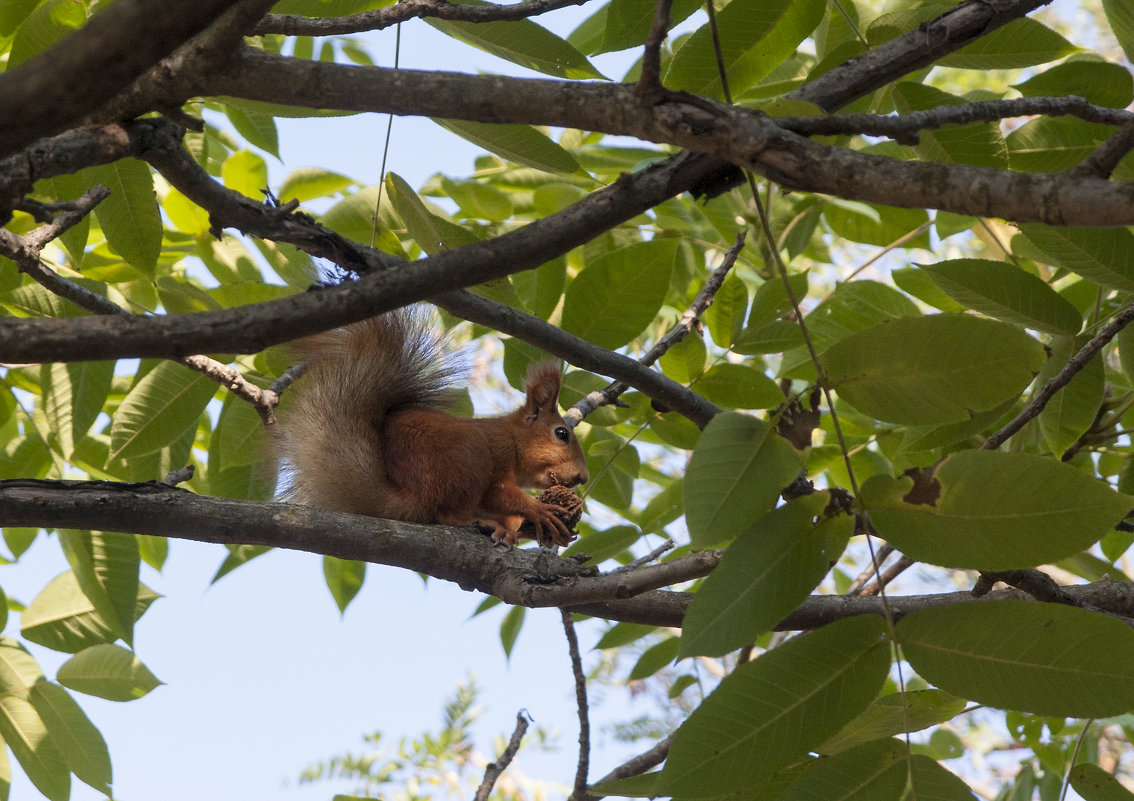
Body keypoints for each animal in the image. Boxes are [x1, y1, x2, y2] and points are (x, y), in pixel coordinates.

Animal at [277, 308, 589, 546]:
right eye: (562, 434)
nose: (583, 477)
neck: (512, 438)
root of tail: (407, 497)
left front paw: (528, 531)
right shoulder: (496, 453)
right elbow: (498, 493)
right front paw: (538, 510)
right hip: (466, 456)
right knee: (444, 514)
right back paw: (475, 521)